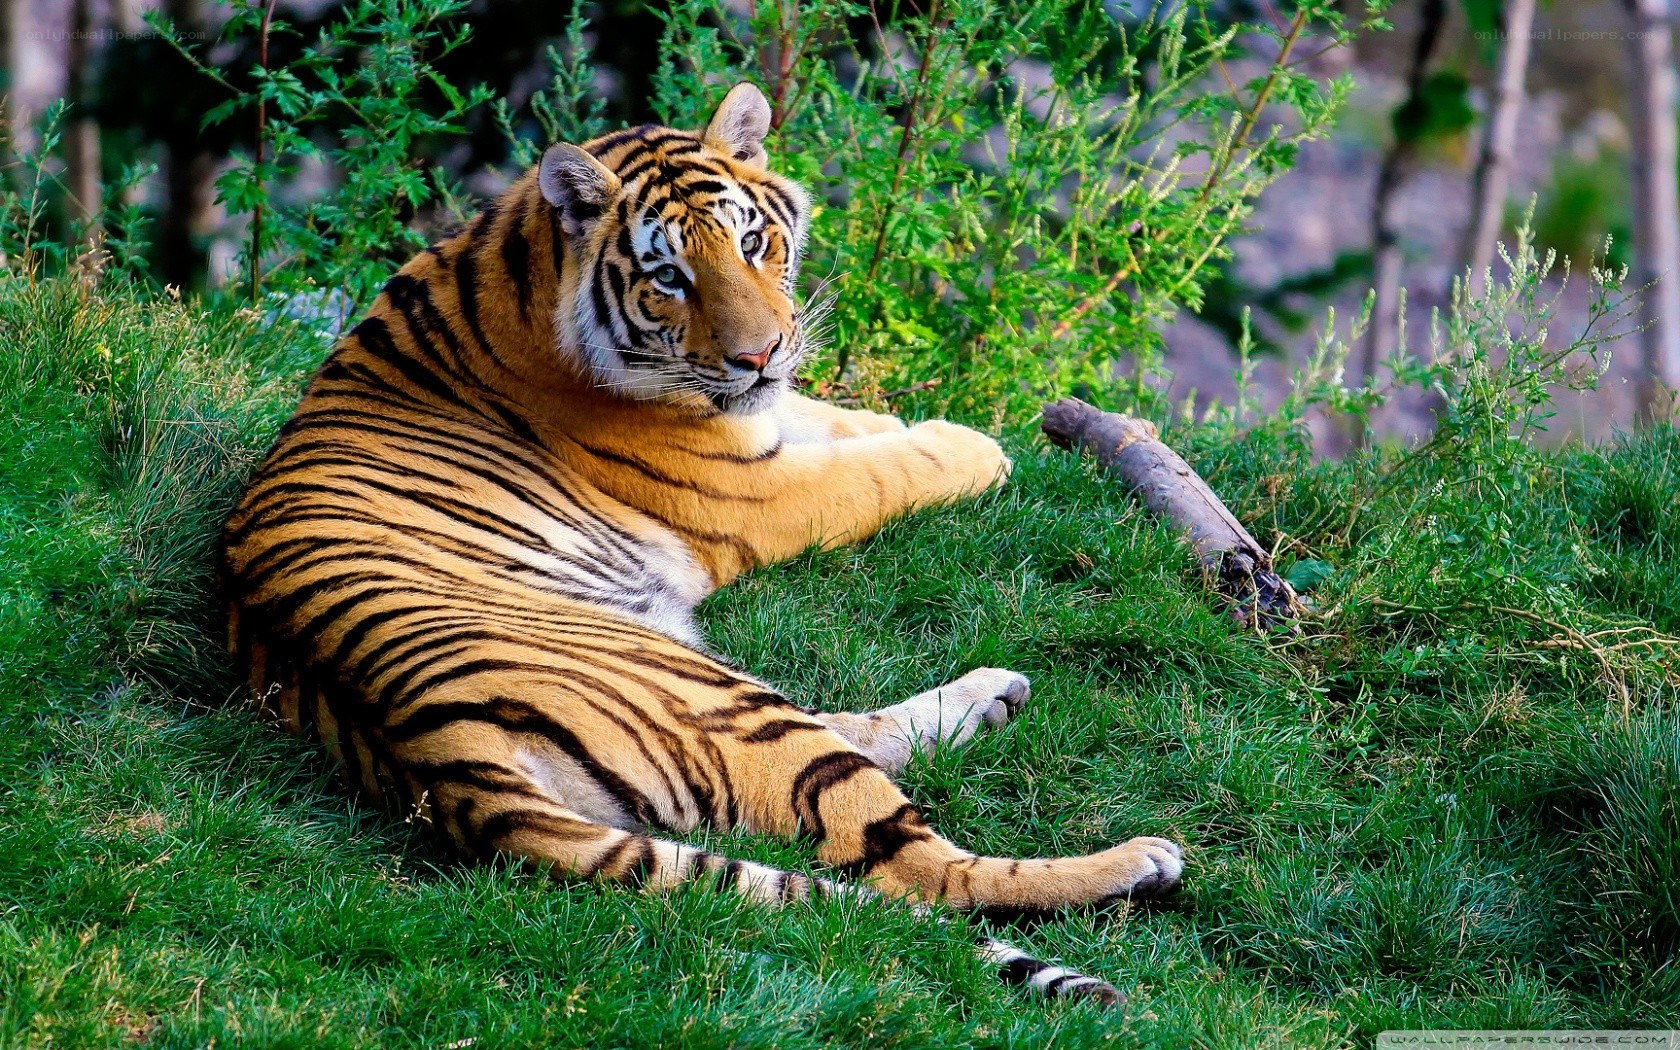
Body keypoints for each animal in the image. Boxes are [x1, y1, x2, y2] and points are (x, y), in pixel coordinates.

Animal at [218, 82, 1184, 1007]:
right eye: (669, 277)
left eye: (754, 242)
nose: (759, 355)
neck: (521, 264)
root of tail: (435, 760)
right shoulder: (756, 492)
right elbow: (879, 470)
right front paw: (974, 447)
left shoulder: (763, 422)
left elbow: (836, 420)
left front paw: (898, 419)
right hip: (716, 697)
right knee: (920, 869)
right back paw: (1135, 861)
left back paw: (994, 697)